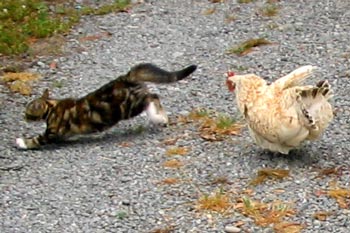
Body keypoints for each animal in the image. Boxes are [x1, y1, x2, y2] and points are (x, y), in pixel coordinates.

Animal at [15, 62, 197, 149]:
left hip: (128, 107)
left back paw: (157, 117)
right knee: (154, 96)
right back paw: (162, 116)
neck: (52, 106)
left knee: (151, 97)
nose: (23, 117)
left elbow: (36, 140)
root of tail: (125, 77)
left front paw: (21, 142)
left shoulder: (52, 133)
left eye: (27, 112)